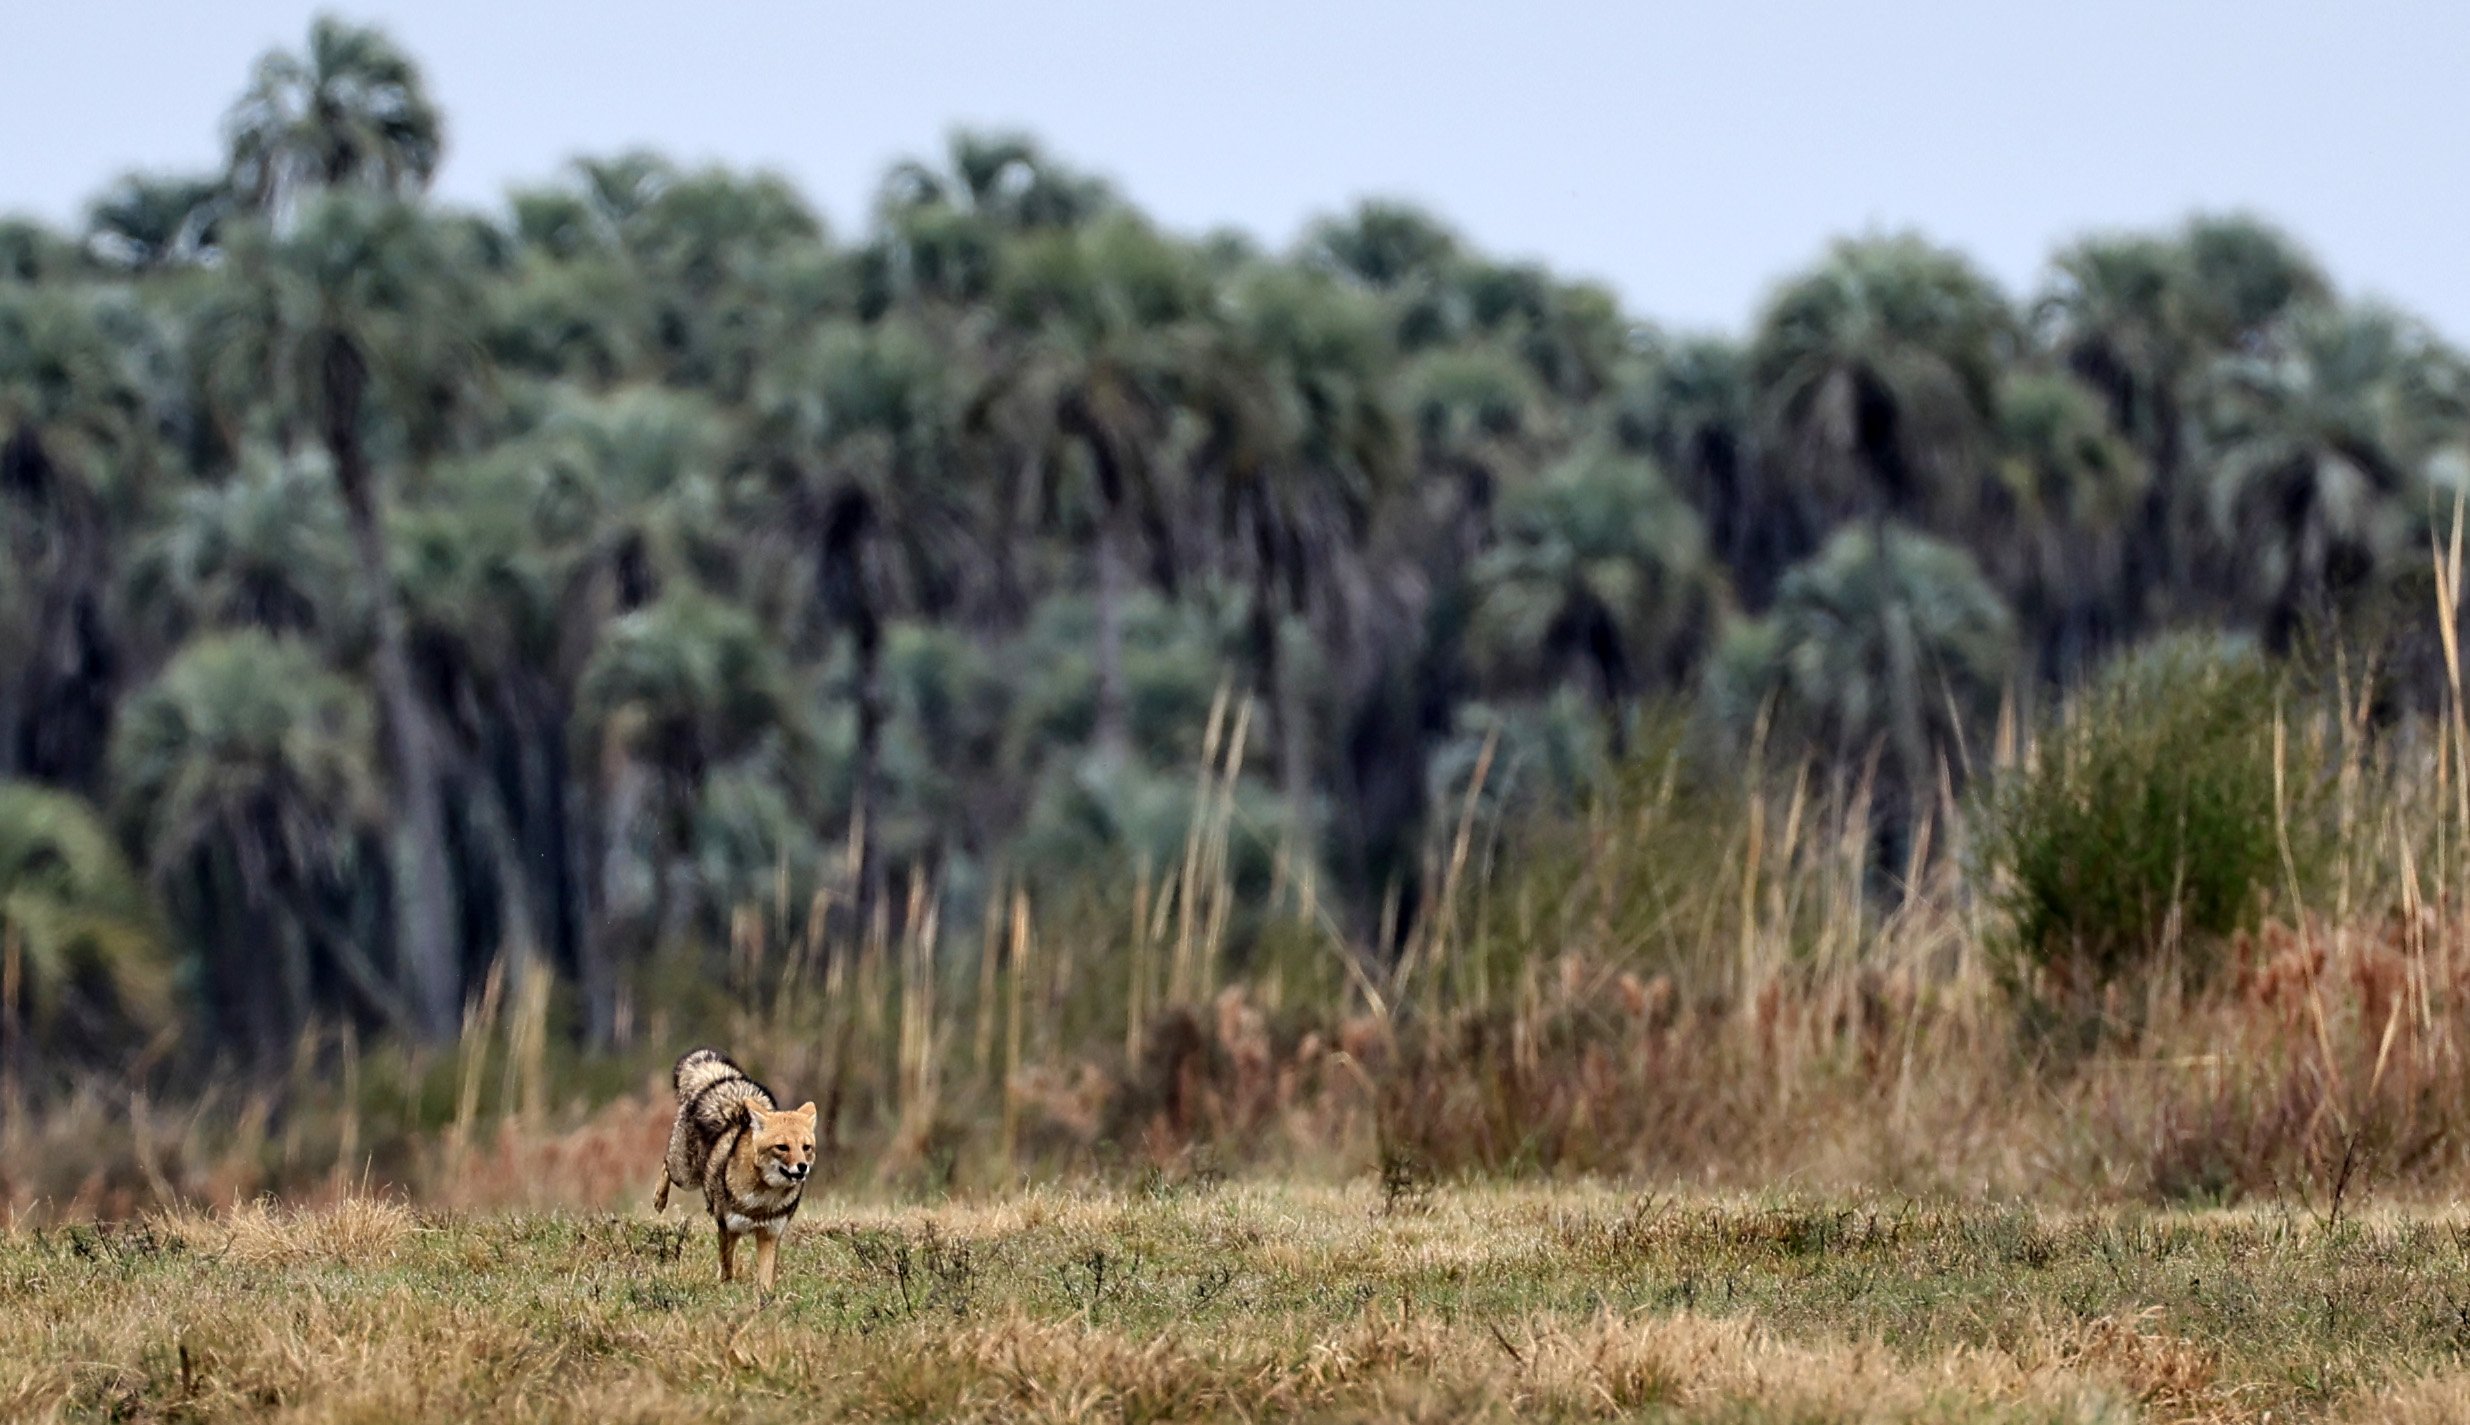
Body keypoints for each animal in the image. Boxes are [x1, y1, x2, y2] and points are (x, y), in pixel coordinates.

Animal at [654, 1048, 817, 1293]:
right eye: (782, 1147)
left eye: (806, 1148)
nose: (802, 1167)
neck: (762, 1200)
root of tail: (721, 1081)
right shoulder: (727, 1228)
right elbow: (727, 1268)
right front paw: (726, 1290)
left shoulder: (769, 1235)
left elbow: (765, 1282)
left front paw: (764, 1300)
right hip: (685, 1176)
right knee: (665, 1164)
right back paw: (659, 1199)